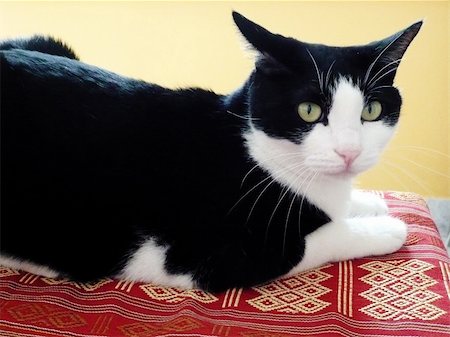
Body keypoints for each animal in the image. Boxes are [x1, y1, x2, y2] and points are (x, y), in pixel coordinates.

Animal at [0, 12, 422, 292]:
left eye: (371, 111)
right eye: (309, 111)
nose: (349, 152)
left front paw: (366, 202)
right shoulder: (219, 256)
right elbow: (323, 237)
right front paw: (386, 227)